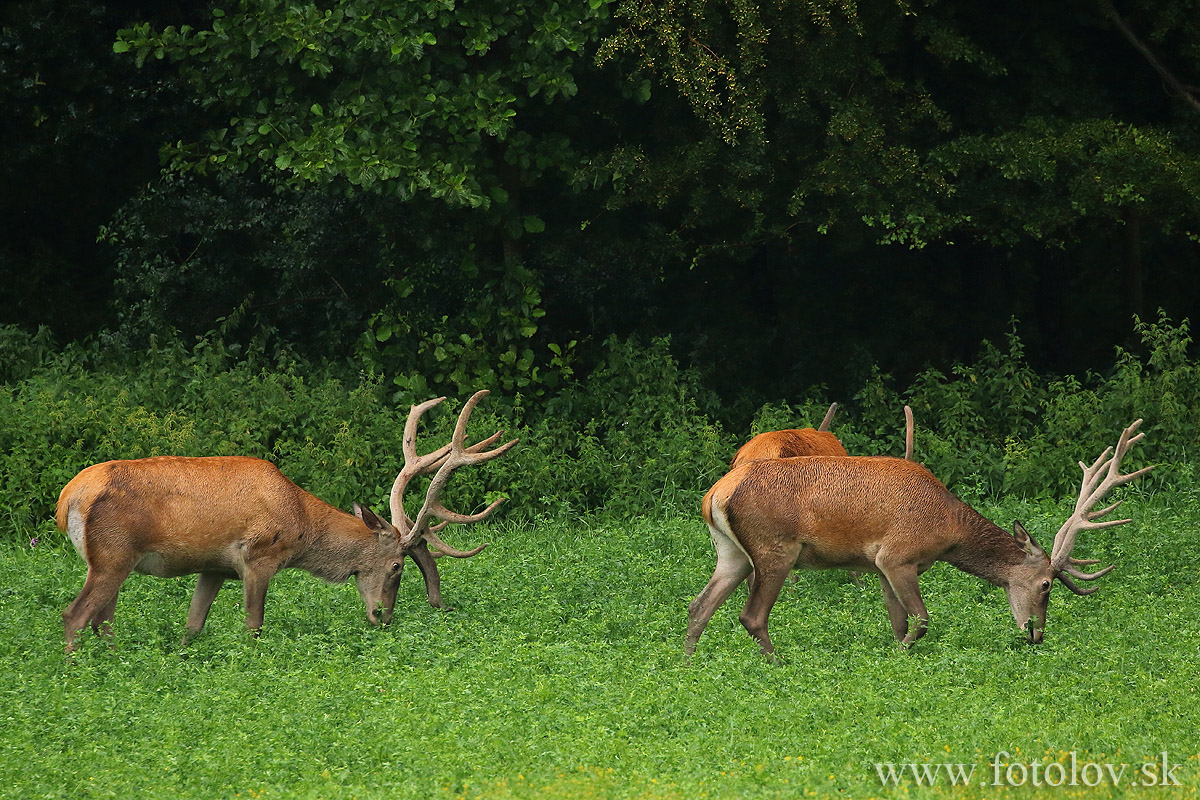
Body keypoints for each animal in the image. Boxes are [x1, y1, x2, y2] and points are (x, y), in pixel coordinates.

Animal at [56, 391, 516, 652]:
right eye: (396, 566)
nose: (382, 617)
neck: (301, 523)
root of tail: (68, 499)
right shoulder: (259, 555)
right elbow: (254, 625)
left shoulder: (214, 567)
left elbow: (193, 625)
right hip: (112, 555)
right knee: (75, 615)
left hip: (116, 563)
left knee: (102, 622)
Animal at [686, 419, 1152, 657]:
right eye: (1046, 585)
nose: (1036, 634)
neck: (947, 531)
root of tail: (715, 493)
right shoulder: (898, 556)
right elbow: (923, 619)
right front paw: (904, 653)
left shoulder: (876, 564)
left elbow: (897, 619)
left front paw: (896, 653)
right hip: (774, 549)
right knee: (751, 615)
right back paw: (778, 661)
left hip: (731, 552)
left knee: (699, 605)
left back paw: (688, 663)